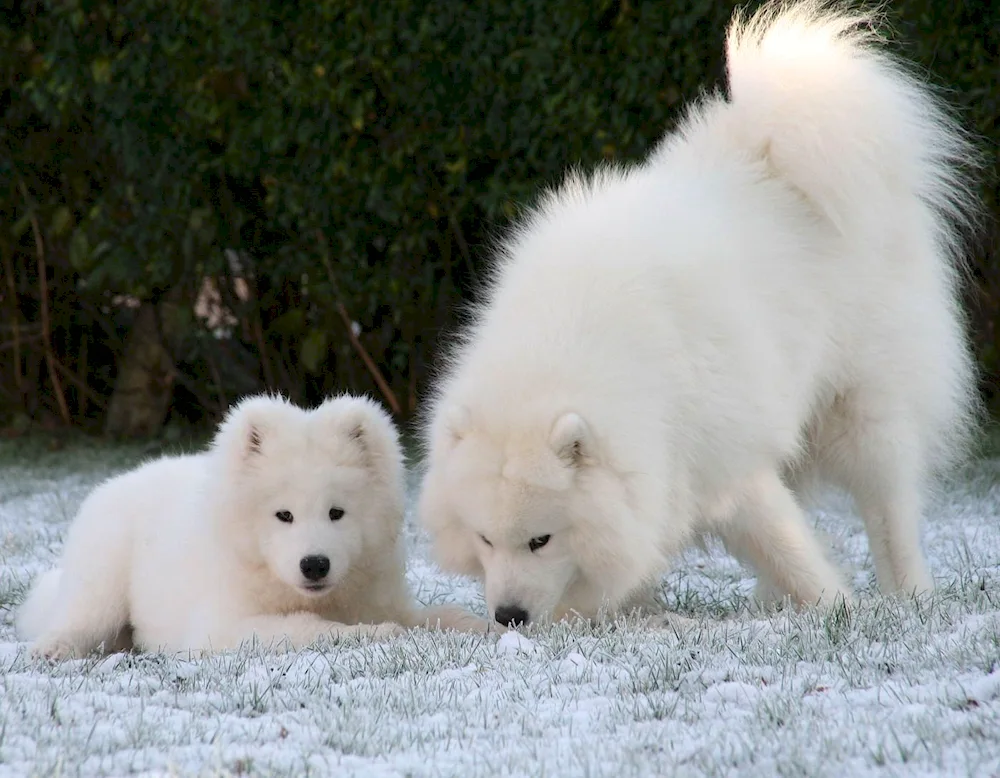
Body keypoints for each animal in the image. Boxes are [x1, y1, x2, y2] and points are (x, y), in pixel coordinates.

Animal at [18, 394, 488, 656]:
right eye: (284, 515)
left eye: (337, 513)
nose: (314, 565)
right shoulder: (222, 626)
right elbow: (307, 627)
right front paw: (377, 635)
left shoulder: (382, 597)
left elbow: (441, 614)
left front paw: (486, 626)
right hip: (103, 580)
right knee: (77, 619)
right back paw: (53, 649)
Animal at [418, 1, 980, 632]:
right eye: (485, 540)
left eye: (541, 540)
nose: (508, 616)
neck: (573, 342)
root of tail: (771, 151)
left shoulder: (723, 458)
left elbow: (784, 543)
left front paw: (835, 606)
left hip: (863, 407)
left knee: (888, 507)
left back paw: (908, 594)